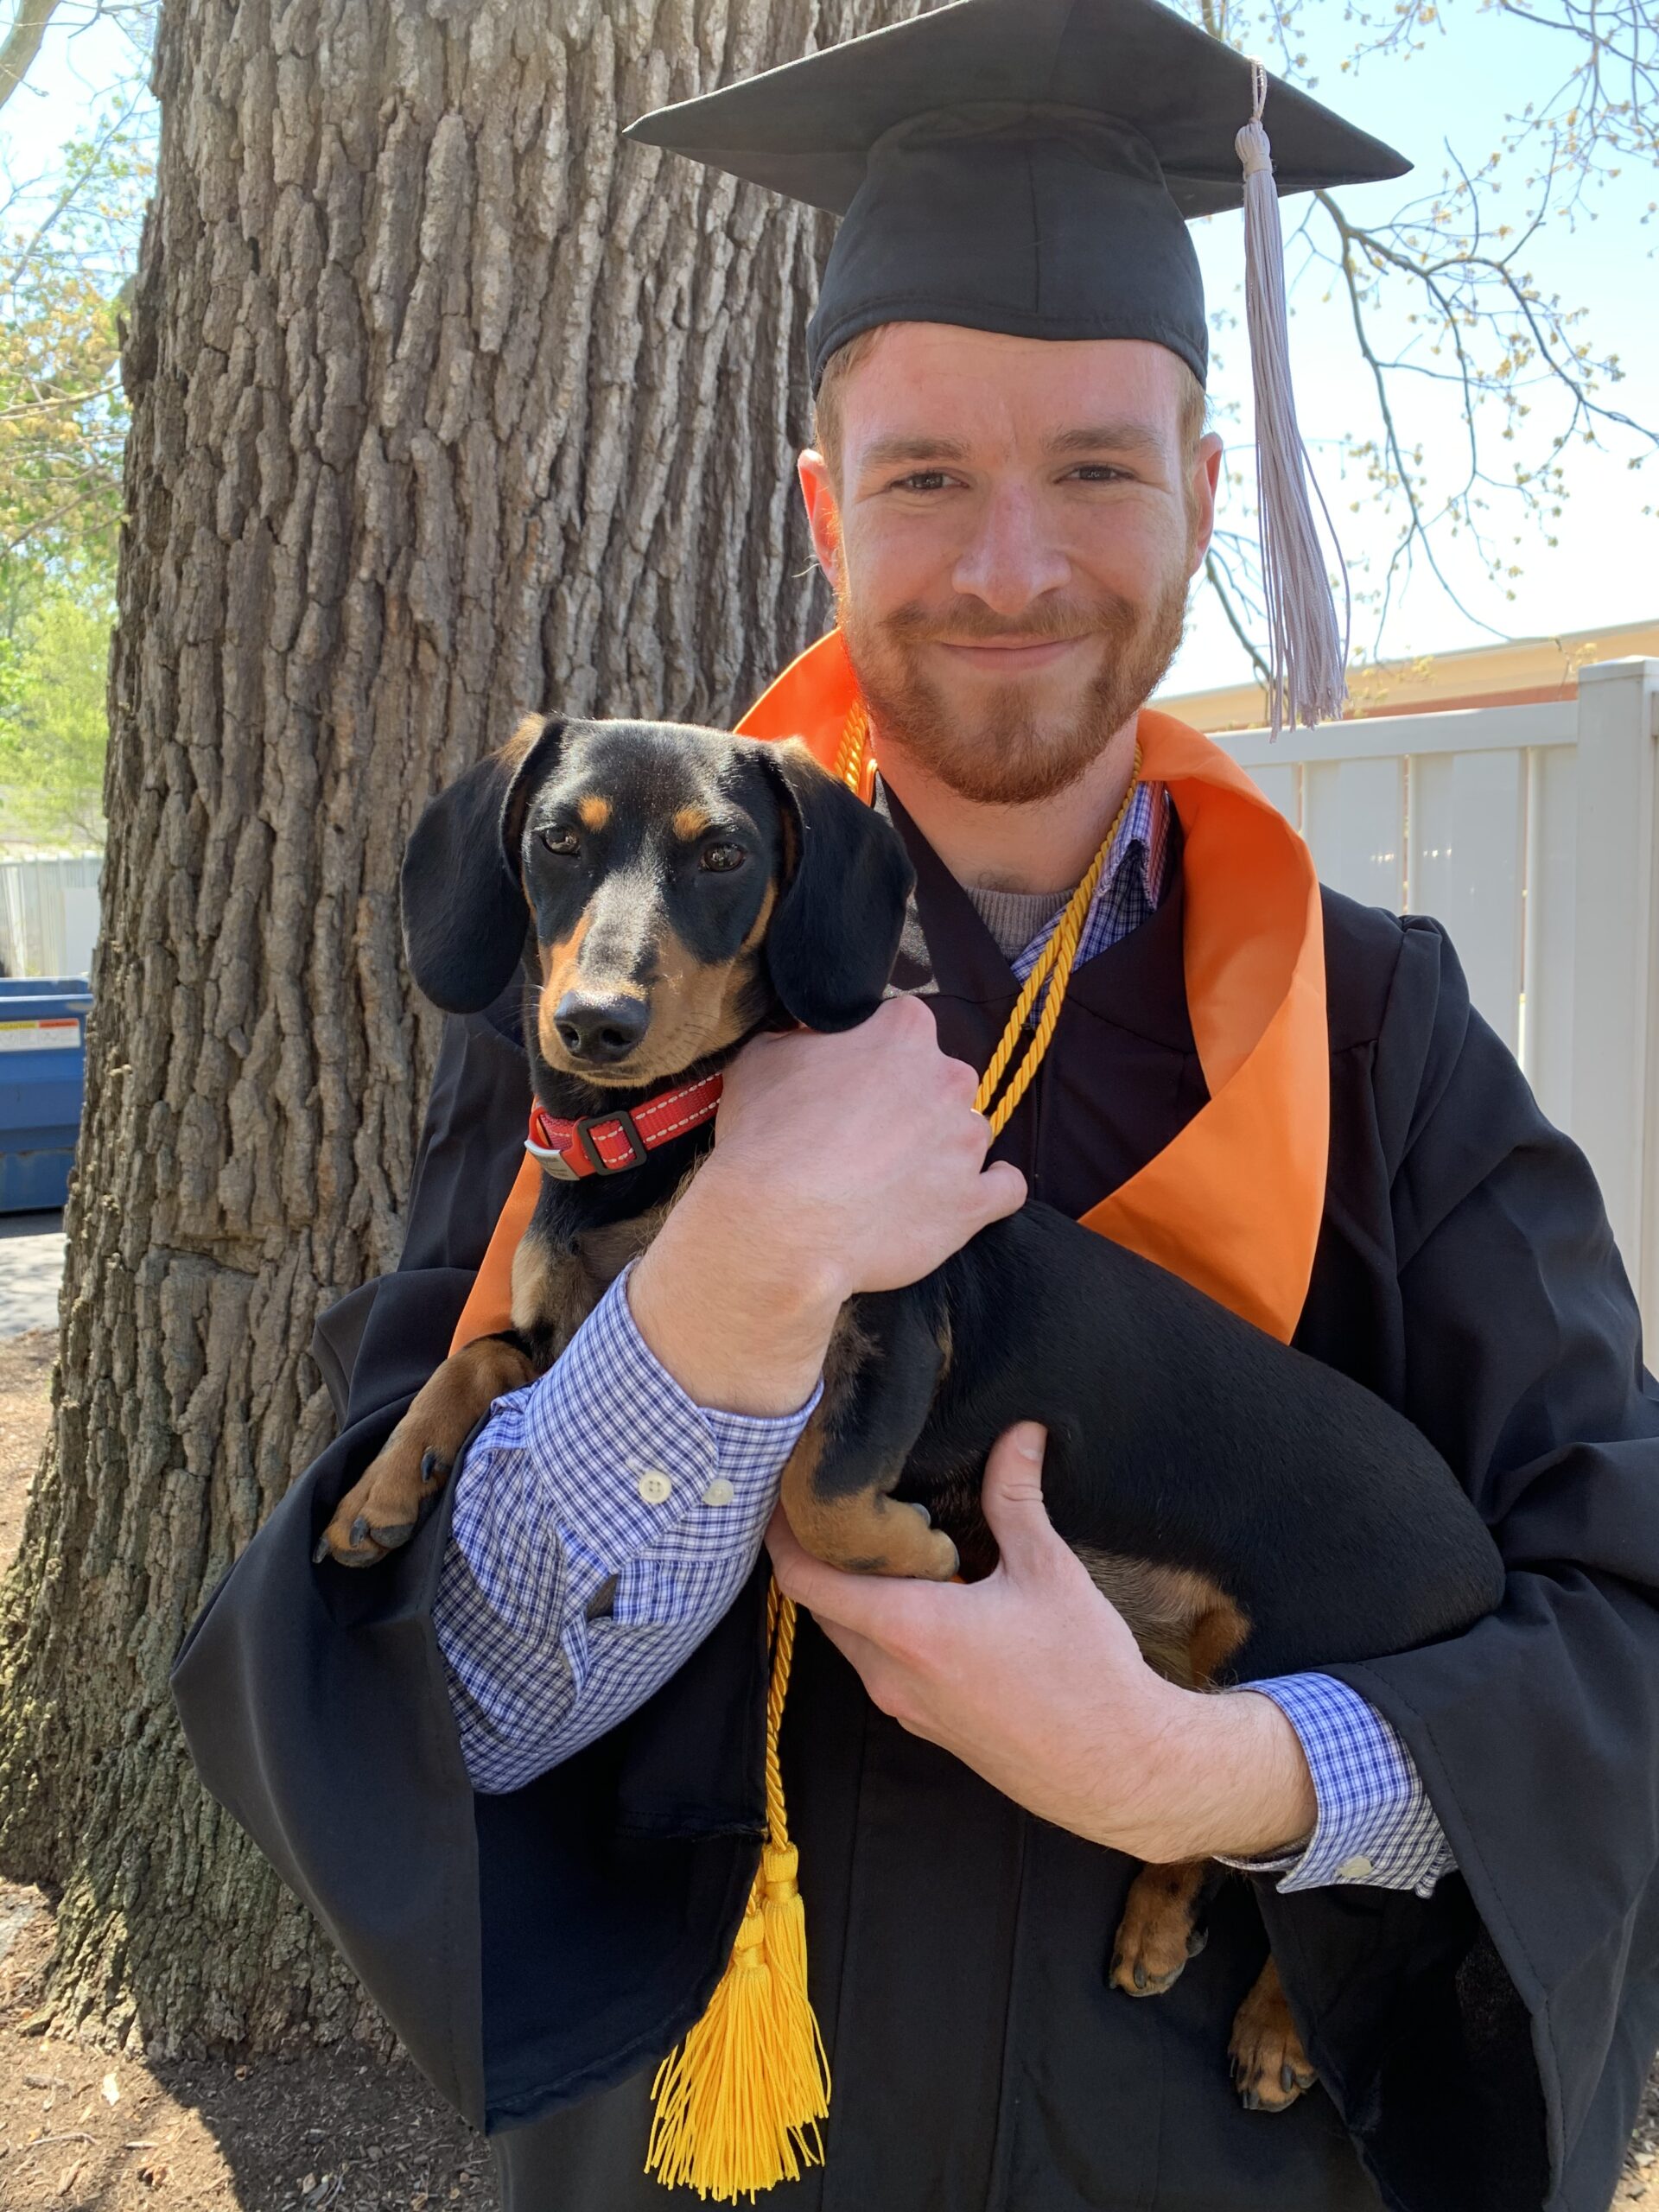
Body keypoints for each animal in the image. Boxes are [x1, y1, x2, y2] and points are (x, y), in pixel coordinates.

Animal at [314, 716, 1503, 2114]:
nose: (595, 1022)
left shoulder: (894, 1335)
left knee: (1359, 1890)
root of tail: (1481, 1550)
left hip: (1312, 1658)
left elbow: (817, 1490)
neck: (659, 1153)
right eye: (557, 837)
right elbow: (470, 1367)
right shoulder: (562, 1347)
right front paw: (376, 1496)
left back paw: (1277, 2032)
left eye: (722, 854)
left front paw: (926, 1554)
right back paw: (1162, 1927)